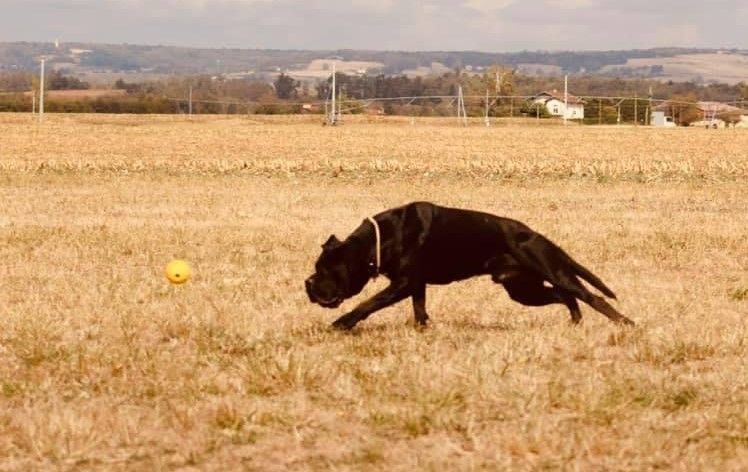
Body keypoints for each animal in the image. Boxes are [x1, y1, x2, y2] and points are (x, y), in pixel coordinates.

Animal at [306, 201, 636, 330]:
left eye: (324, 269)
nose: (307, 284)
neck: (378, 240)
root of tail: (537, 235)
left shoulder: (402, 283)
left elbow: (368, 304)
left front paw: (342, 324)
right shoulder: (415, 284)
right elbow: (419, 309)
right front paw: (423, 330)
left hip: (551, 272)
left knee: (591, 297)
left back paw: (625, 323)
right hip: (524, 290)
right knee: (565, 296)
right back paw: (575, 322)